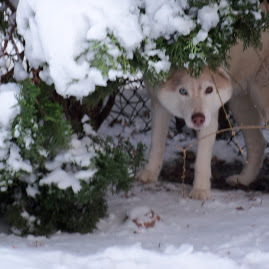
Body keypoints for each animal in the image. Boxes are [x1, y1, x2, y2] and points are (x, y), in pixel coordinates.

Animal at [137, 23, 266, 199]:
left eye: (209, 90)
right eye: (183, 91)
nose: (198, 118)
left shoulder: (211, 115)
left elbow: (202, 159)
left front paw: (200, 191)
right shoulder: (158, 103)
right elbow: (157, 144)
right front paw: (149, 173)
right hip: (240, 106)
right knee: (259, 143)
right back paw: (243, 179)